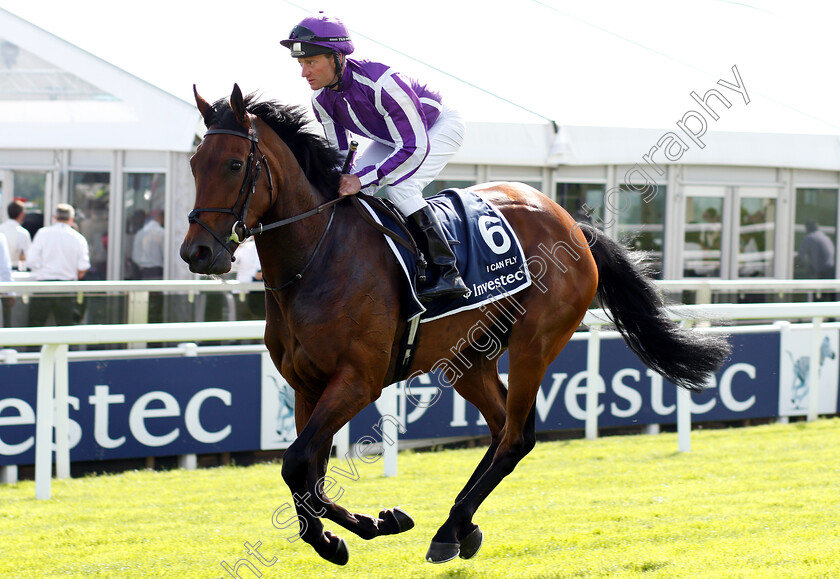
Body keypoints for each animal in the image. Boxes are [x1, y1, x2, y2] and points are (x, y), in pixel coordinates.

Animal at [182, 84, 728, 564]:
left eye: (235, 164)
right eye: (193, 164)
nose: (198, 252)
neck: (320, 256)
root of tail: (571, 223)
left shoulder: (358, 380)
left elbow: (297, 463)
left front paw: (356, 531)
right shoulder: (305, 384)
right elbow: (307, 472)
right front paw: (356, 529)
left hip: (534, 343)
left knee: (516, 437)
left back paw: (450, 527)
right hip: (469, 358)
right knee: (503, 428)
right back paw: (461, 525)